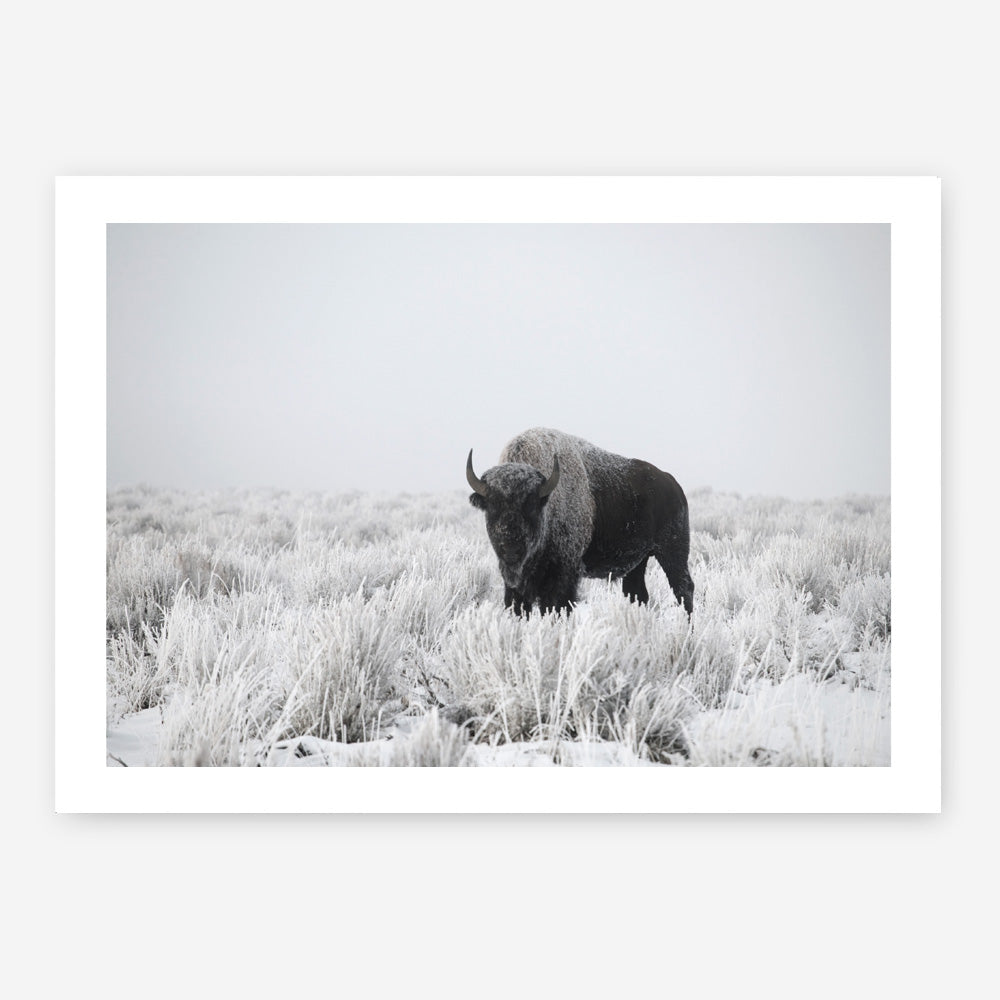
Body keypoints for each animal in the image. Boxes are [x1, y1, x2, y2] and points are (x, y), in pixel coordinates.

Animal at [467, 428, 693, 616]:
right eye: (492, 506)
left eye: (530, 505)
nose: (511, 548)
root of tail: (673, 485)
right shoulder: (515, 583)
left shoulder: (564, 573)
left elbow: (557, 606)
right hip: (639, 561)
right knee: (638, 594)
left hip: (672, 552)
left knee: (683, 589)